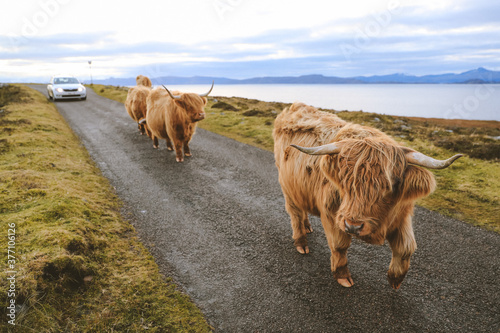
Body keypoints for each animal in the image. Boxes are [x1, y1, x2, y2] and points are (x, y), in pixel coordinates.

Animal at [274, 102, 460, 290]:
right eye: (345, 181)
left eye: (390, 185)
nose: (353, 226)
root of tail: (294, 107)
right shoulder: (332, 213)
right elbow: (339, 245)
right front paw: (342, 275)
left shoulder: (402, 215)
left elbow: (406, 247)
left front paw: (395, 279)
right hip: (286, 185)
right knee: (295, 213)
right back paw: (301, 242)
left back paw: (307, 226)